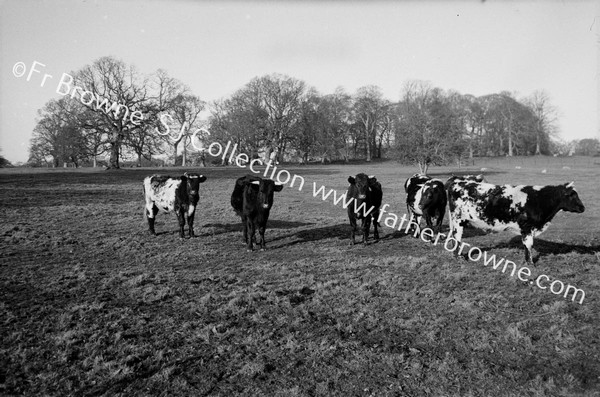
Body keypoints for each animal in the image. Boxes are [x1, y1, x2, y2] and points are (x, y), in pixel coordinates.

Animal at [448, 179, 584, 262]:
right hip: (458, 220)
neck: (538, 199)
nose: (583, 208)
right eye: (572, 195)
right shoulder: (527, 227)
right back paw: (458, 257)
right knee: (457, 238)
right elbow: (529, 244)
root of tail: (458, 181)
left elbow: (526, 245)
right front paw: (530, 263)